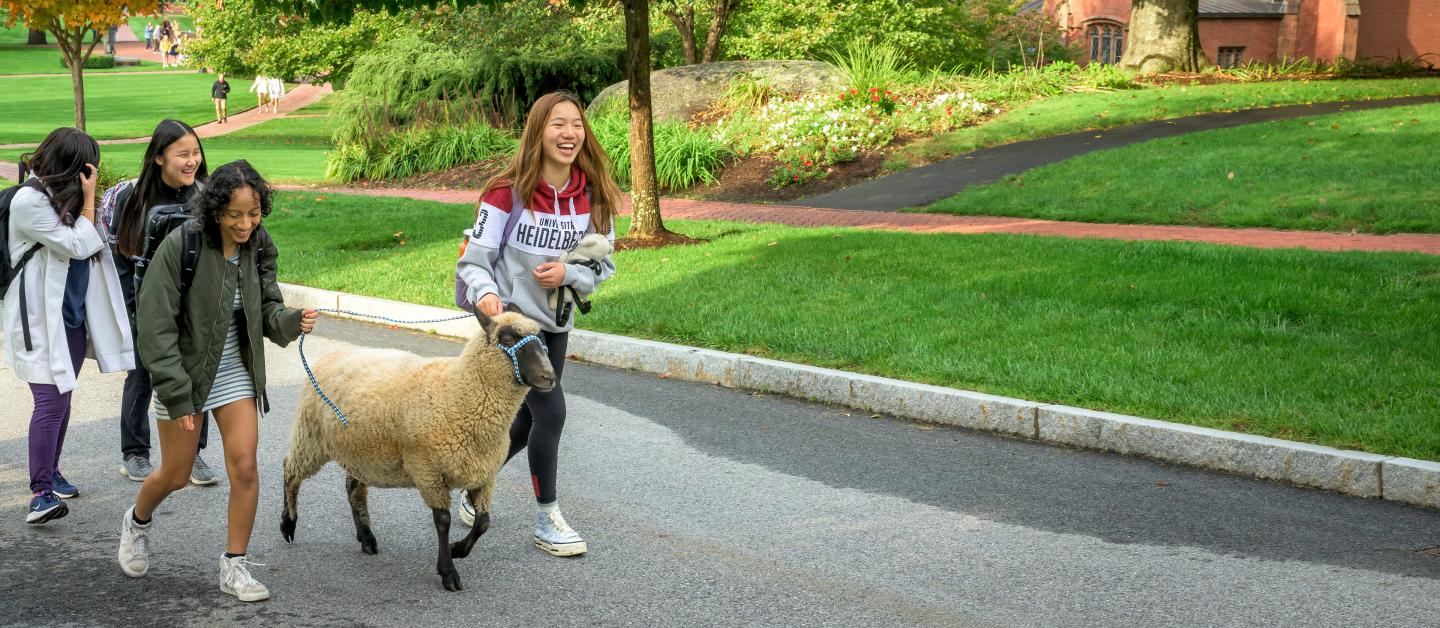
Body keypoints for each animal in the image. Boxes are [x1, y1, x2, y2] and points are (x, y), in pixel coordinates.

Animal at [280, 306, 555, 590]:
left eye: (541, 340)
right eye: (508, 339)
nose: (549, 377)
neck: (457, 393)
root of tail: (335, 353)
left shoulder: (483, 476)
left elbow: (483, 522)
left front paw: (458, 549)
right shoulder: (428, 472)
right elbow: (443, 521)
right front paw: (448, 571)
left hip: (359, 450)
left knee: (353, 488)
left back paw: (366, 537)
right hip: (310, 435)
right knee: (291, 471)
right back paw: (288, 523)